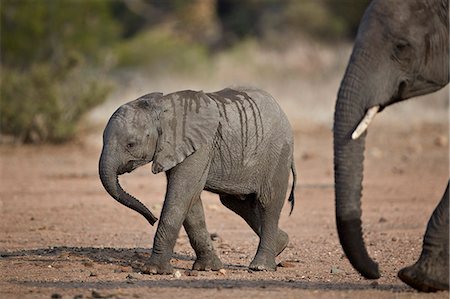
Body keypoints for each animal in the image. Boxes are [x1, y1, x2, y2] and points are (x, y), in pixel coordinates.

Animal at [98, 86, 296, 274]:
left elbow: (181, 194)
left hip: (278, 153)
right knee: (236, 203)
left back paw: (261, 266)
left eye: (131, 144)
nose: (152, 219)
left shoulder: (199, 146)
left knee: (268, 202)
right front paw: (208, 268)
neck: (161, 108)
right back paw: (281, 244)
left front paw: (153, 271)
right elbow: (191, 201)